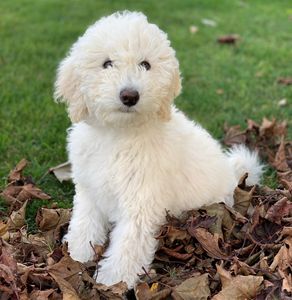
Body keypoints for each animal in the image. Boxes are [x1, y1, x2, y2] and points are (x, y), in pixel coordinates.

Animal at [54, 11, 262, 288]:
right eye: (107, 64)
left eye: (145, 64)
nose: (129, 96)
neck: (119, 133)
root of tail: (232, 174)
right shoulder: (90, 188)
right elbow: (84, 220)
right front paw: (77, 254)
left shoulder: (141, 200)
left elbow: (130, 241)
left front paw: (114, 280)